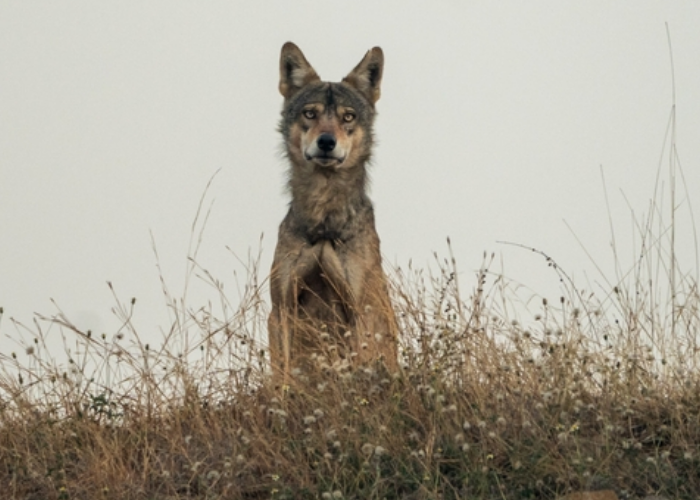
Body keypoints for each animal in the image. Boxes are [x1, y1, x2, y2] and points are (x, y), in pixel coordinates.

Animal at [268, 42, 398, 385]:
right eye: (310, 113)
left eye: (347, 117)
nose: (326, 142)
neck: (323, 221)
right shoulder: (281, 308)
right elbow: (282, 377)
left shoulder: (360, 310)